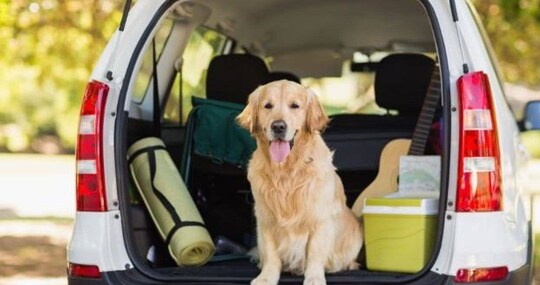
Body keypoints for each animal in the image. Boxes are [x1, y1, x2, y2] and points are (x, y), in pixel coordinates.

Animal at [237, 80, 360, 284]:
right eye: (268, 105)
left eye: (295, 105)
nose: (278, 126)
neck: (286, 171)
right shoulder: (265, 219)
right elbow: (271, 254)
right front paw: (266, 278)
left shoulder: (320, 219)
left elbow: (315, 253)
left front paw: (314, 278)